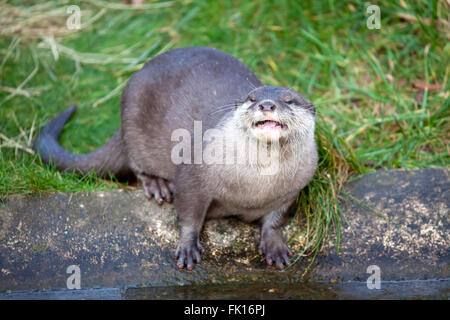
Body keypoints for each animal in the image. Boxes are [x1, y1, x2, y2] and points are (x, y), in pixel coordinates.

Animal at [34, 45, 316, 270]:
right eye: (252, 98)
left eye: (289, 100)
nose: (267, 104)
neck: (253, 187)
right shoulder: (195, 174)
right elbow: (189, 212)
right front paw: (188, 246)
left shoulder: (293, 191)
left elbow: (276, 220)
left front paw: (274, 244)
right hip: (134, 124)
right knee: (137, 164)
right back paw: (157, 185)